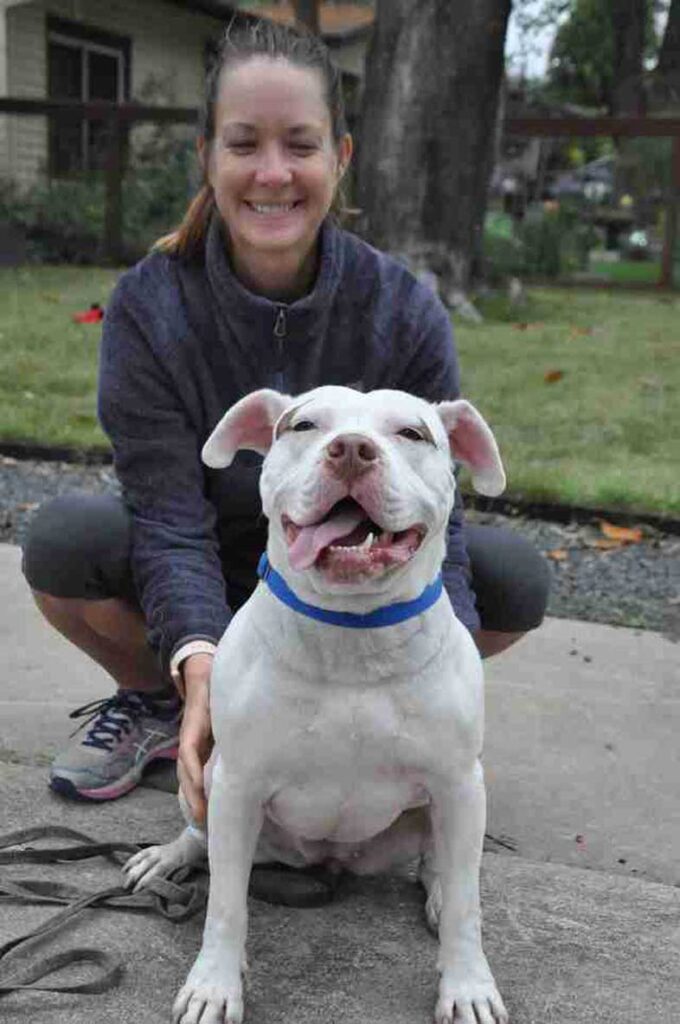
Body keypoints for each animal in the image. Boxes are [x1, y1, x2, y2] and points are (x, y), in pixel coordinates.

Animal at [123, 385, 503, 1024]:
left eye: (412, 433)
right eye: (303, 426)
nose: (350, 449)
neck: (351, 633)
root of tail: (331, 862)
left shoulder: (459, 783)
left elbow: (466, 906)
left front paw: (468, 984)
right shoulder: (238, 784)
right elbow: (225, 904)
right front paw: (214, 984)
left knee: (443, 867)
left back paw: (437, 890)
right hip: (204, 781)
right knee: (202, 840)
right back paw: (169, 857)